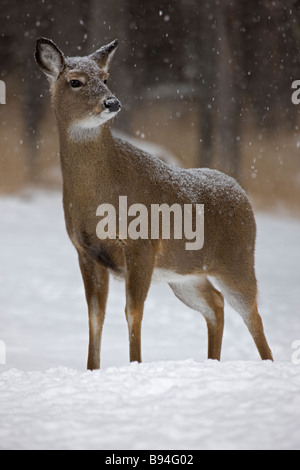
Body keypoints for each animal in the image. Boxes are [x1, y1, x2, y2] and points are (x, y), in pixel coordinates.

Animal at [35, 37, 274, 370]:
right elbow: (95, 316)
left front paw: (135, 365)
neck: (99, 198)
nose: (112, 103)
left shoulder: (142, 243)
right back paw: (212, 362)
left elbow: (132, 312)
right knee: (215, 303)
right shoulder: (85, 251)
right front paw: (92, 370)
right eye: (75, 81)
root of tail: (242, 194)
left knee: (253, 315)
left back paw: (266, 364)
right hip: (183, 274)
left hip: (237, 261)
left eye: (106, 78)